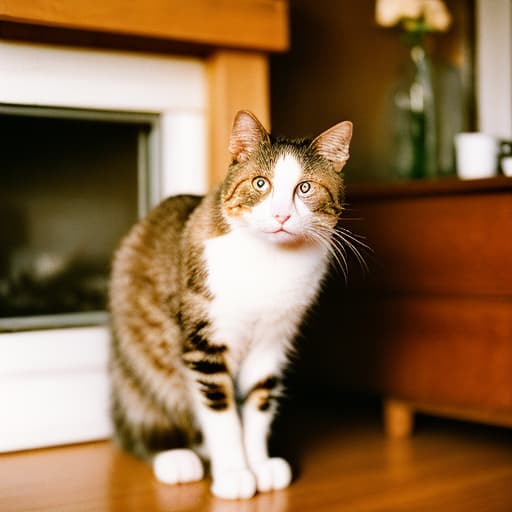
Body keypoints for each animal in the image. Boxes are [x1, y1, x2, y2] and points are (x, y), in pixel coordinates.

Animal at [108, 110, 352, 498]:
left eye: (305, 188)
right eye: (260, 184)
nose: (281, 215)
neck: (271, 262)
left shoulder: (275, 338)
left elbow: (258, 401)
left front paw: (258, 464)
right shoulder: (205, 342)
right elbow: (221, 414)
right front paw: (235, 472)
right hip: (139, 358)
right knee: (142, 412)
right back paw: (175, 456)